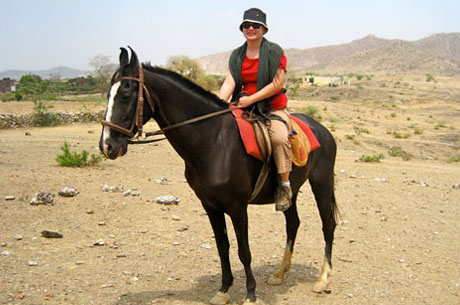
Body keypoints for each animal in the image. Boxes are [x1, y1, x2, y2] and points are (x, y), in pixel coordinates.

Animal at [99, 46, 338, 302]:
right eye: (108, 94)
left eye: (125, 95)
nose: (107, 146)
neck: (214, 141)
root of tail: (323, 130)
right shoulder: (210, 205)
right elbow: (222, 247)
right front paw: (223, 290)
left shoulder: (237, 207)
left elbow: (244, 251)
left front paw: (250, 294)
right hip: (290, 193)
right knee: (293, 223)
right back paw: (279, 273)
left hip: (321, 184)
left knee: (328, 225)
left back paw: (323, 279)